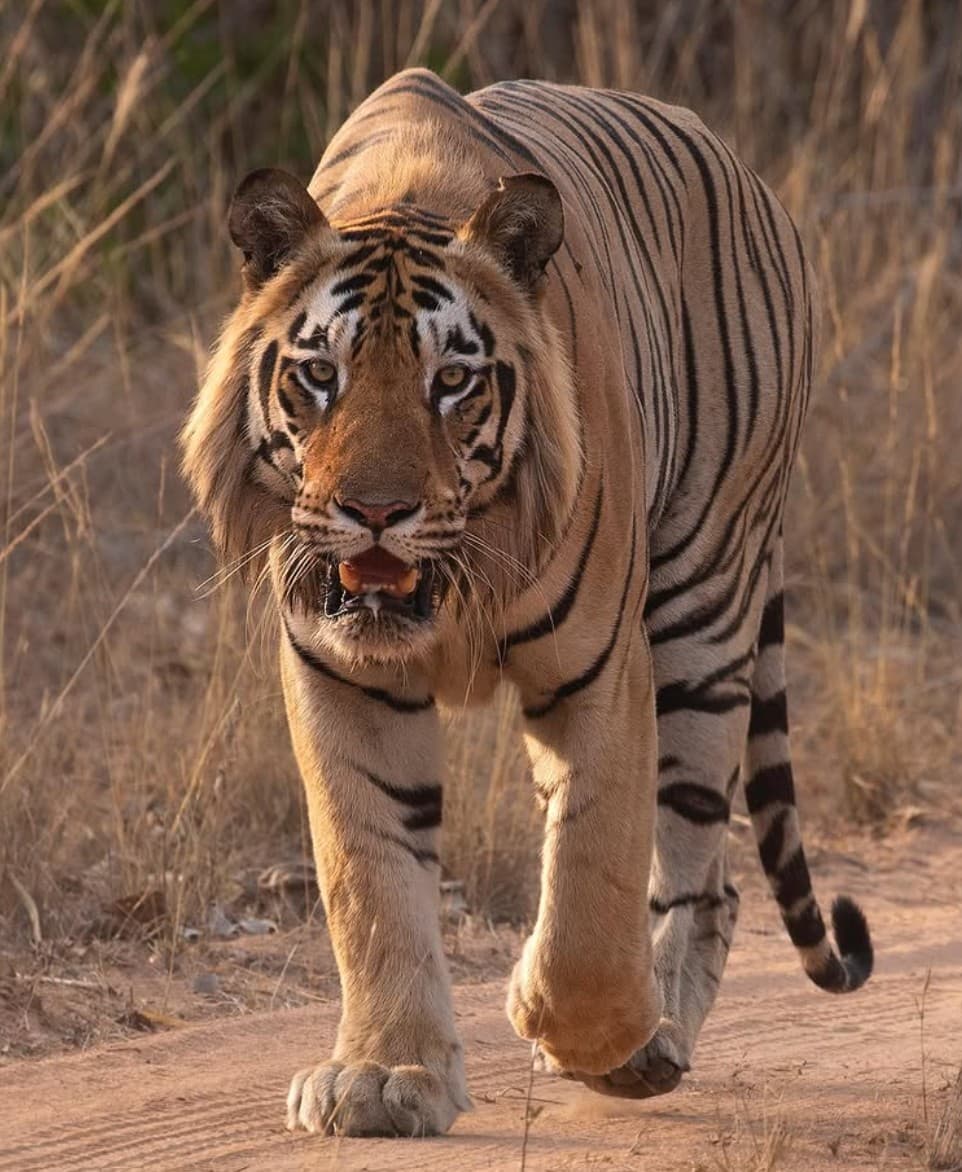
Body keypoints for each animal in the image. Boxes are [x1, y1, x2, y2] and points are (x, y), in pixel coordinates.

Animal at [181, 67, 873, 1139]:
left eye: (452, 381)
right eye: (321, 375)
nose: (373, 512)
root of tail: (749, 176)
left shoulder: (604, 671)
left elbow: (591, 885)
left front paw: (586, 1032)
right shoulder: (342, 679)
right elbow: (370, 879)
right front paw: (383, 1074)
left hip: (705, 606)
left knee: (700, 866)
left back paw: (656, 1039)